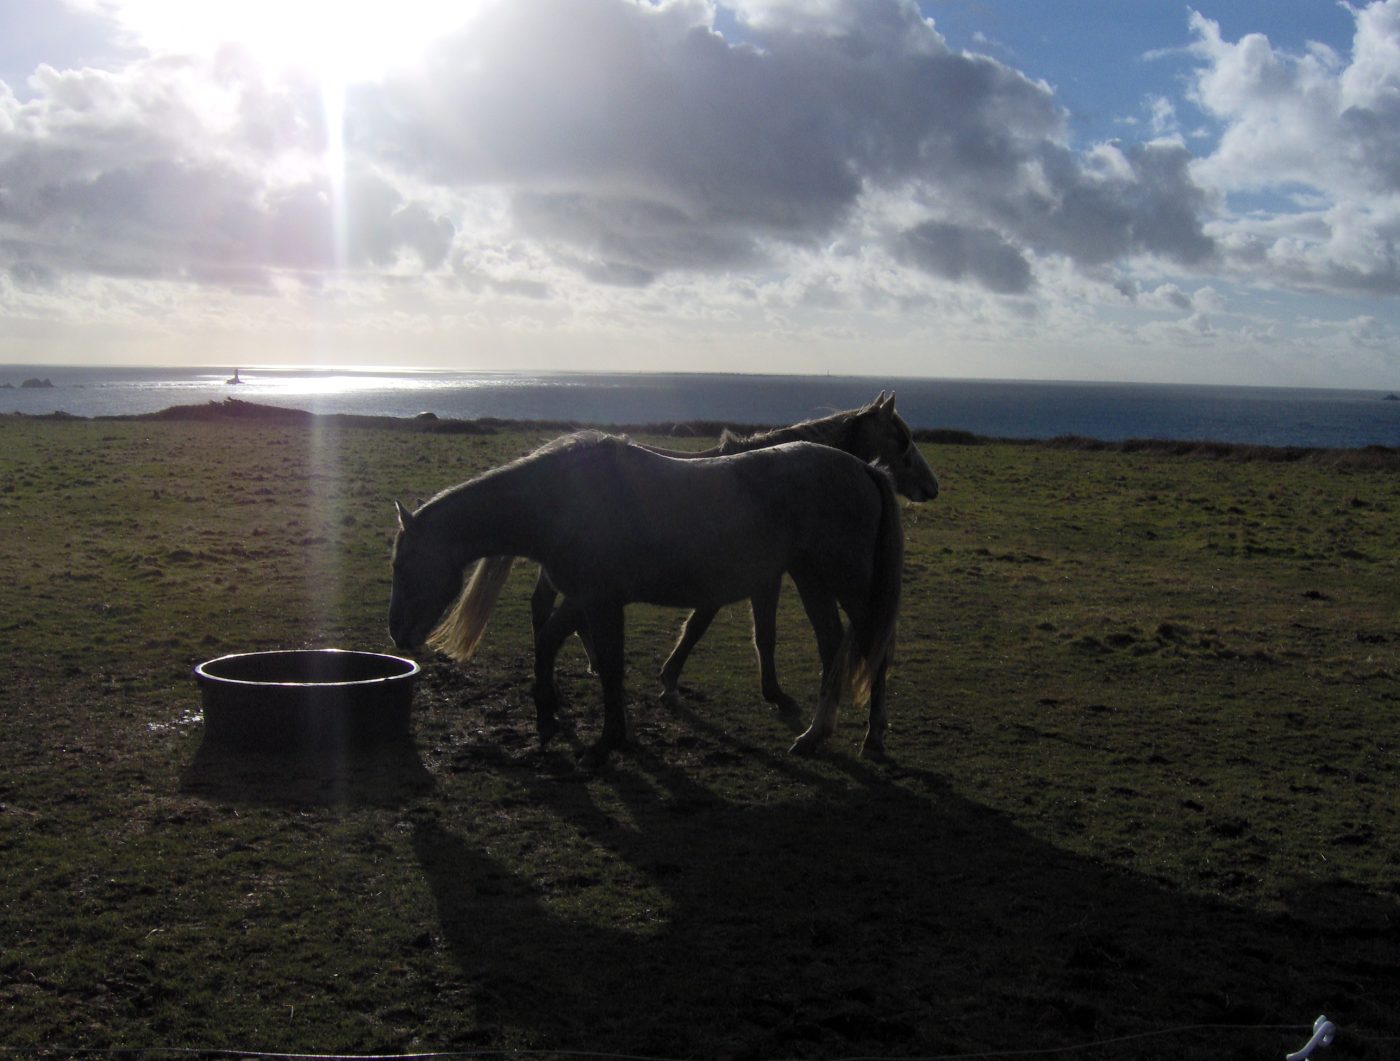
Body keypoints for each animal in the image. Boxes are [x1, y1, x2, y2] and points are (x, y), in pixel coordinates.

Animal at [388, 431, 904, 766]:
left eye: (402, 565)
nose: (397, 633)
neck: (560, 498)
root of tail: (865, 468)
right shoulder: (589, 599)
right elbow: (576, 652)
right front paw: (564, 721)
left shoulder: (597, 599)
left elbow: (595, 659)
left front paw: (597, 737)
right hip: (811, 578)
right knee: (834, 645)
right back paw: (817, 734)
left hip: (848, 583)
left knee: (874, 651)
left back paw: (870, 736)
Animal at [529, 392, 936, 714]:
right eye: (901, 439)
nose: (931, 486)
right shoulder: (757, 577)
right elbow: (740, 630)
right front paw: (770, 693)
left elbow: (706, 625)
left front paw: (670, 679)